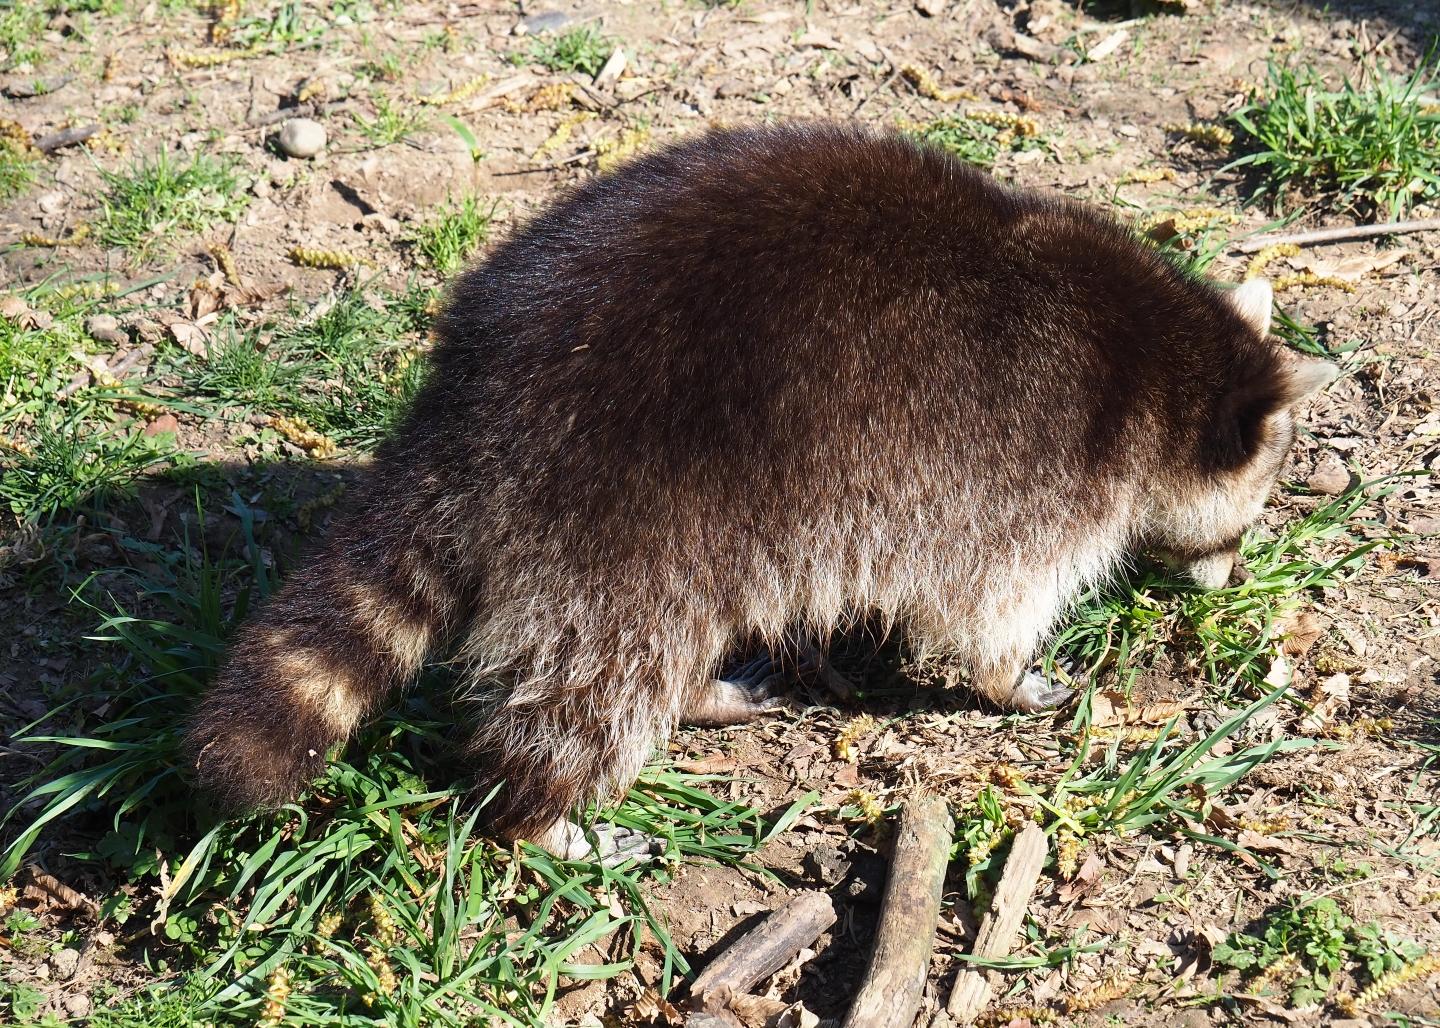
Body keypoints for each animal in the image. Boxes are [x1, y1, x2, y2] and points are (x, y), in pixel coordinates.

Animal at [186, 123, 1335, 856]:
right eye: (1251, 512)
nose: (1232, 580)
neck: (1163, 370)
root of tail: (473, 401)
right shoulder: (1037, 478)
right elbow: (984, 613)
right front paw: (1016, 677)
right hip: (623, 501)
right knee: (599, 676)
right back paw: (543, 812)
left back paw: (697, 695)